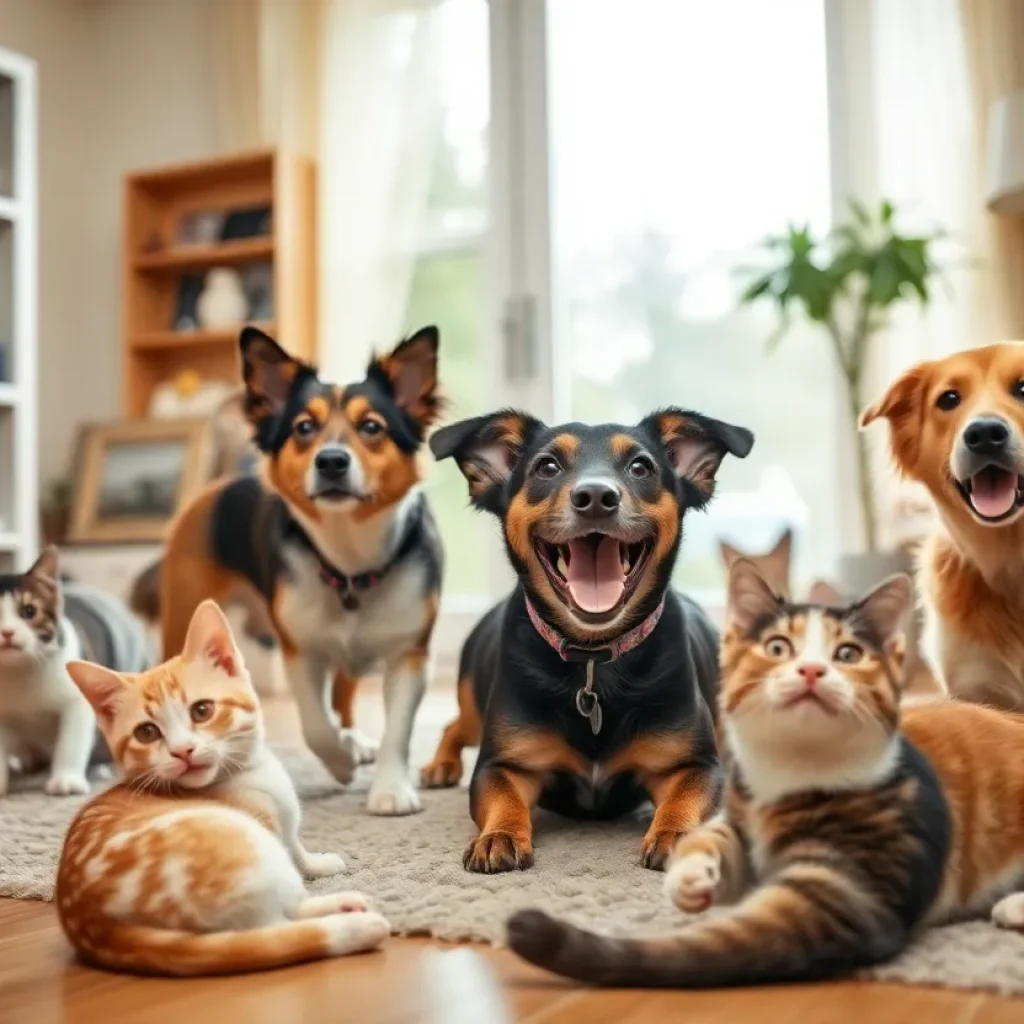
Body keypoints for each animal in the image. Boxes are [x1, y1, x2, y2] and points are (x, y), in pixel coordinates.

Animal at [55, 598, 387, 974]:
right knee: (279, 927)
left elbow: (297, 849)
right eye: (147, 732)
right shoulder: (268, 826)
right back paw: (352, 922)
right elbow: (290, 855)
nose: (183, 750)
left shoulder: (284, 828)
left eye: (202, 710)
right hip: (250, 846)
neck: (246, 770)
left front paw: (316, 863)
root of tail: (101, 928)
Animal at [158, 327, 440, 815]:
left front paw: (390, 788)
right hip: (183, 612)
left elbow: (398, 729)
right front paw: (341, 762)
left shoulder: (410, 652)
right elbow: (314, 725)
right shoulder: (300, 649)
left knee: (345, 691)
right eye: (304, 427)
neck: (349, 562)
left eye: (372, 427)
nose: (331, 461)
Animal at [419, 407, 757, 872]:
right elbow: (502, 797)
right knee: (454, 724)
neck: (594, 658)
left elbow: (686, 800)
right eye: (546, 467)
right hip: (473, 704)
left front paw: (677, 835)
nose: (596, 496)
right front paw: (499, 834)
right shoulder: (503, 763)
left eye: (641, 467)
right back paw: (439, 766)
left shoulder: (695, 764)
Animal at [509, 557, 1024, 987]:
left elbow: (714, 949)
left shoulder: (856, 892)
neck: (790, 768)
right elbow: (710, 839)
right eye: (777, 647)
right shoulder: (737, 812)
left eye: (848, 655)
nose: (812, 670)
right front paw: (691, 877)